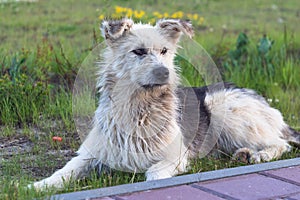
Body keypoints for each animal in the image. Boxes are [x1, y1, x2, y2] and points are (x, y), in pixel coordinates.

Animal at [31, 18, 300, 189]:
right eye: (138, 52)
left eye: (164, 51)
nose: (165, 73)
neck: (139, 109)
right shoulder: (92, 153)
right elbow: (65, 171)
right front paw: (38, 186)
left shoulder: (176, 157)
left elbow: (153, 174)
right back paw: (243, 153)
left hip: (223, 108)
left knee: (281, 143)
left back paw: (259, 154)